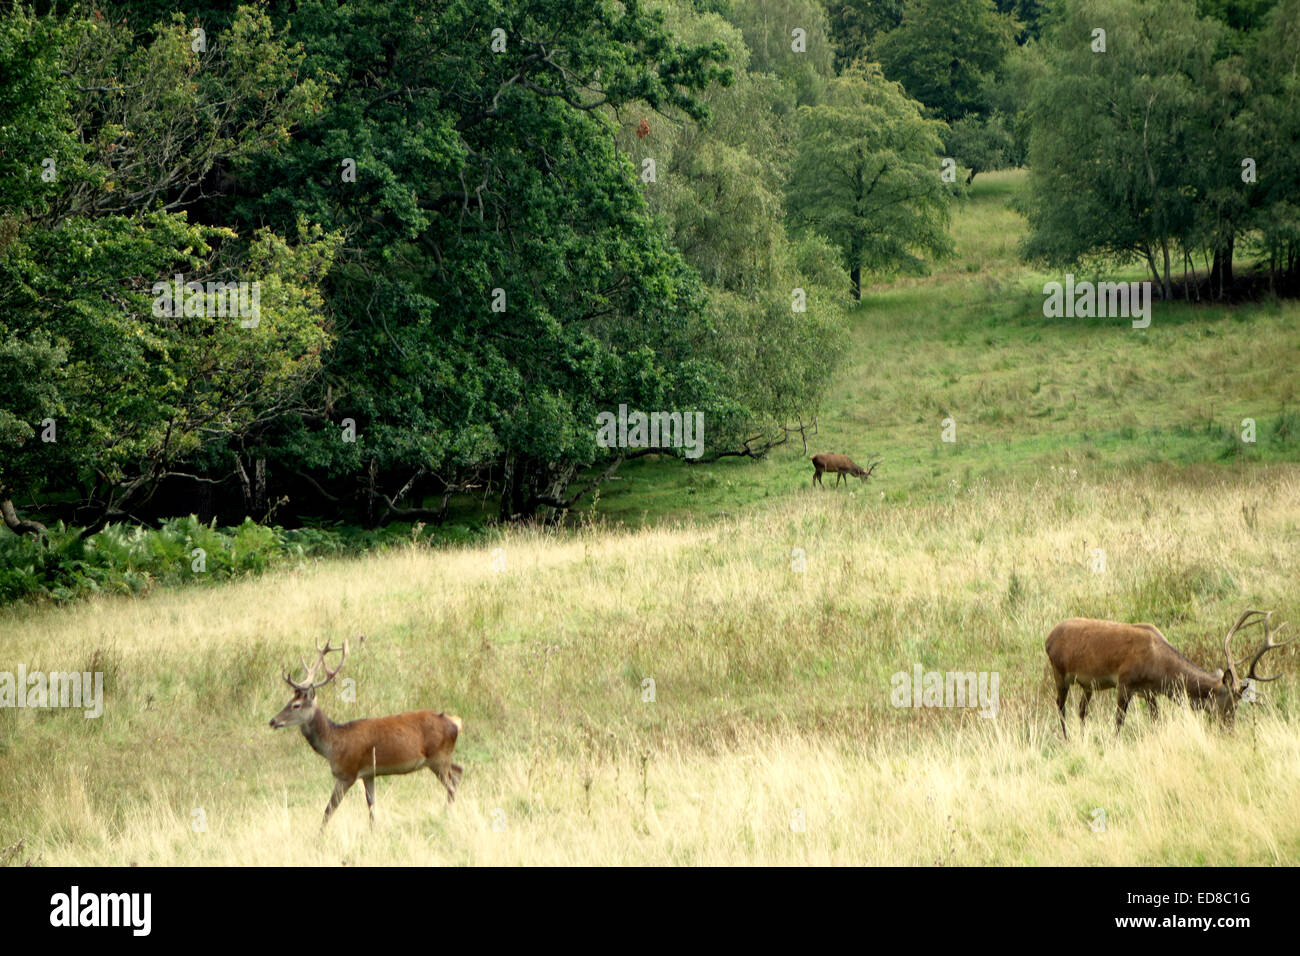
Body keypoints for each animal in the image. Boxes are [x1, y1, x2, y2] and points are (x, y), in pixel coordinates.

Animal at [267, 634, 462, 832]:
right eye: (288, 701)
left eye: (296, 705)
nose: (273, 721)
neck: (333, 745)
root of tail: (455, 722)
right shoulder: (369, 774)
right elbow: (371, 804)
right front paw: (372, 830)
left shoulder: (348, 773)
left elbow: (329, 809)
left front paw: (319, 835)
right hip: (440, 758)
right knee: (459, 772)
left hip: (438, 757)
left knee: (452, 785)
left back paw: (446, 815)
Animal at [1040, 613, 1294, 738]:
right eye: (1231, 704)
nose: (1229, 732)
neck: (1159, 667)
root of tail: (1048, 638)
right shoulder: (1124, 683)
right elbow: (1119, 721)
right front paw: (1113, 744)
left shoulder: (1149, 692)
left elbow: (1156, 719)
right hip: (1058, 672)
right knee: (1060, 705)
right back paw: (1067, 739)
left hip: (1087, 685)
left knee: (1081, 711)